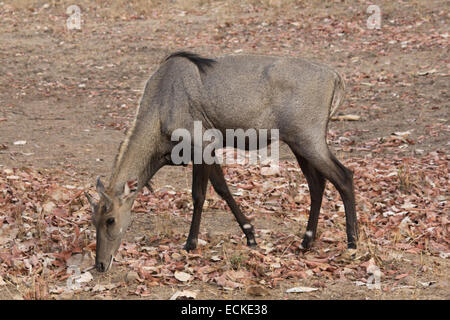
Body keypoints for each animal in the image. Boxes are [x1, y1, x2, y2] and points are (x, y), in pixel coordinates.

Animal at [85, 51, 358, 272]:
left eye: (110, 219)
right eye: (93, 220)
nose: (100, 264)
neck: (161, 106)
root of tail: (335, 77)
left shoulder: (202, 146)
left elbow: (200, 195)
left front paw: (190, 243)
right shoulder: (207, 151)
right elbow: (222, 189)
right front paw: (250, 235)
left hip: (309, 140)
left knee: (344, 176)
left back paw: (352, 243)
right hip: (298, 143)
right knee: (317, 183)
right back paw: (306, 240)